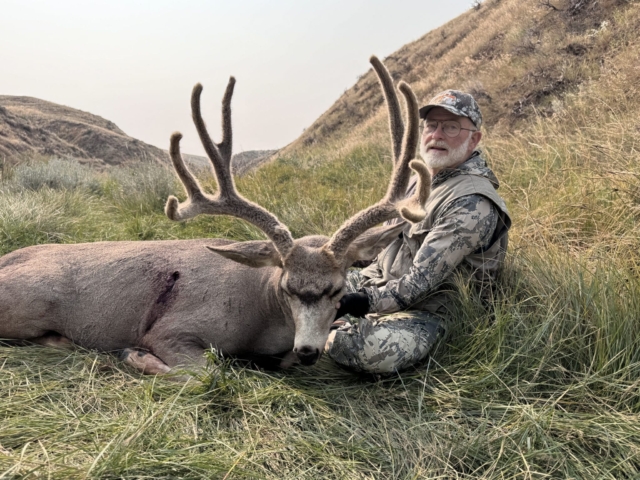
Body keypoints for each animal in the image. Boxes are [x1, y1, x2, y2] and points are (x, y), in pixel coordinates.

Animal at [0, 56, 430, 376]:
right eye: (287, 287)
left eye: (338, 290)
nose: (309, 349)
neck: (259, 310)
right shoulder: (171, 328)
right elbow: (208, 370)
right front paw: (134, 356)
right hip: (30, 301)